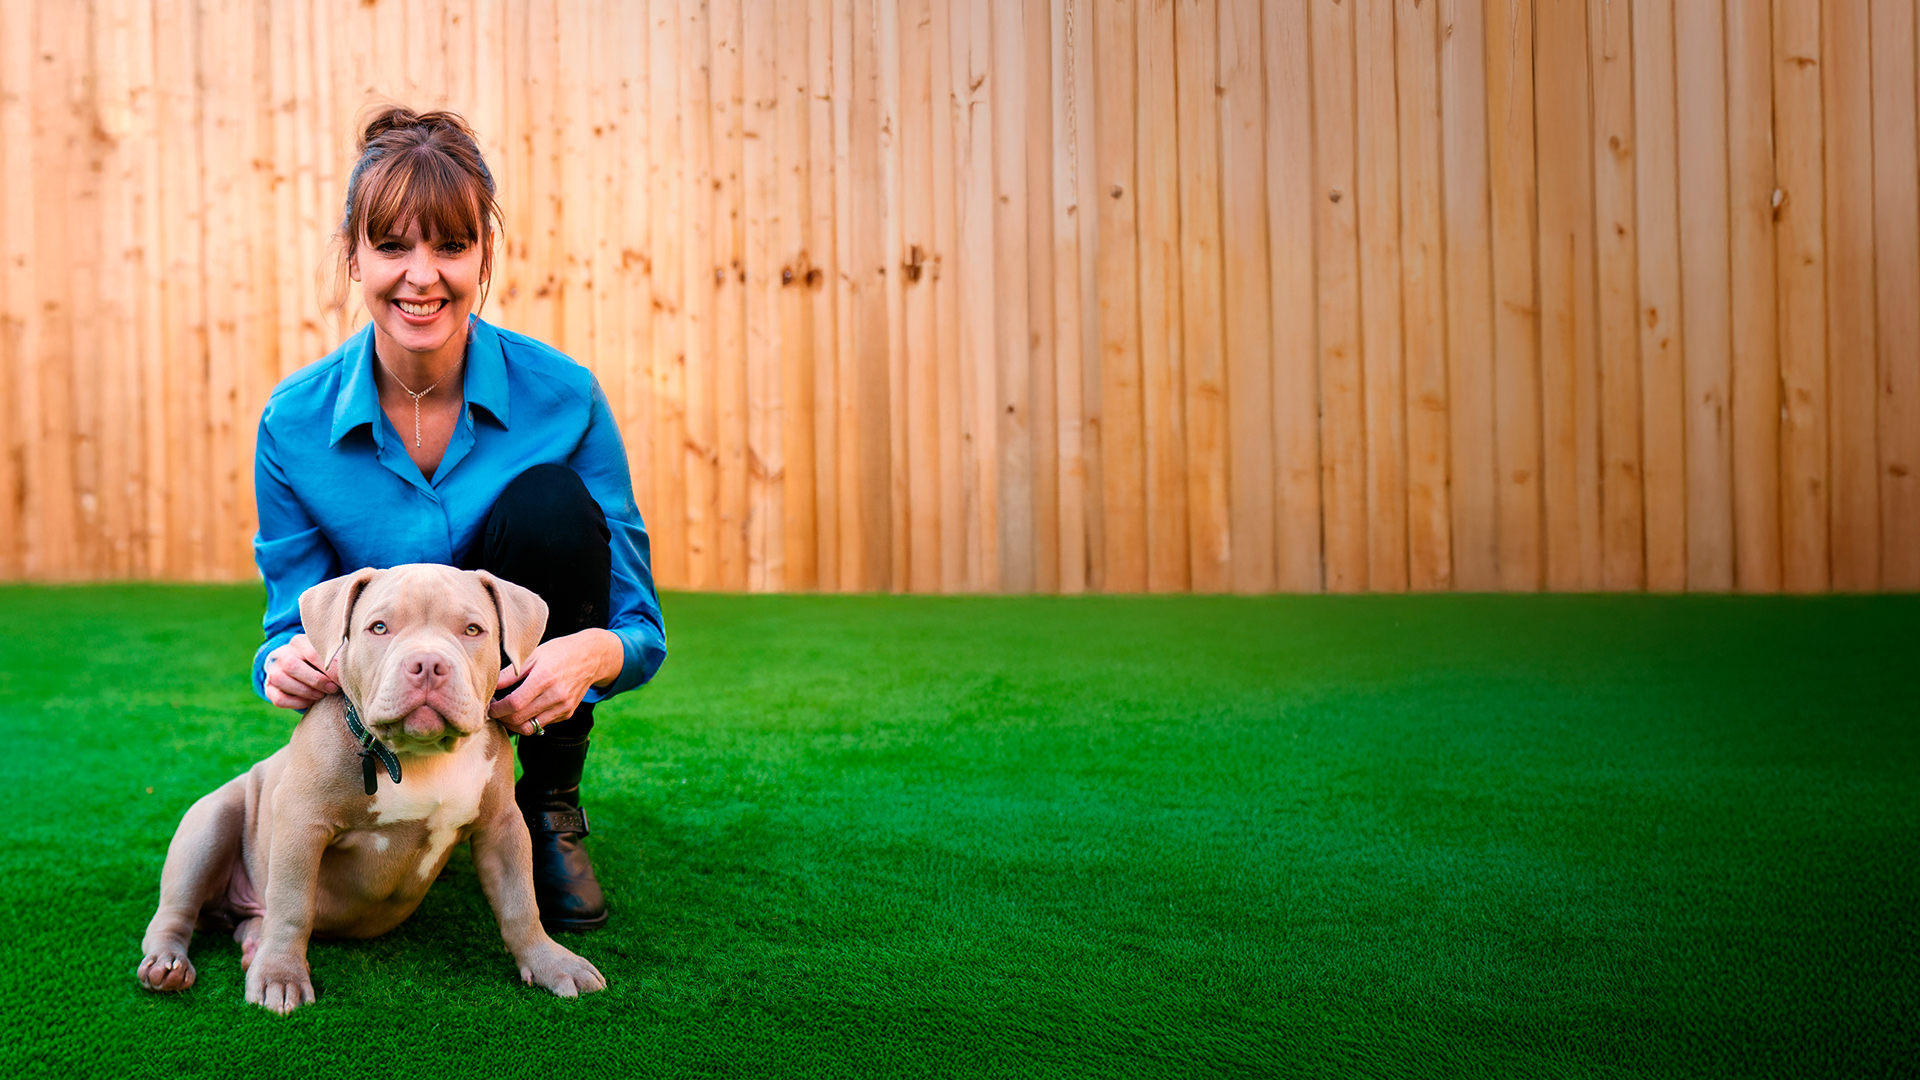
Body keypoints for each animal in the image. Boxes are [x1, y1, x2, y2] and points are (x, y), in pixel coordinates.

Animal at [134, 564, 602, 1006]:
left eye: (472, 630)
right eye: (379, 628)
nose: (428, 665)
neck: (418, 756)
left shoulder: (502, 826)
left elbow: (521, 901)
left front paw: (551, 961)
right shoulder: (301, 822)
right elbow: (291, 903)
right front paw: (280, 977)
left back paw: (251, 944)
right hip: (209, 824)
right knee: (175, 910)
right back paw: (168, 964)